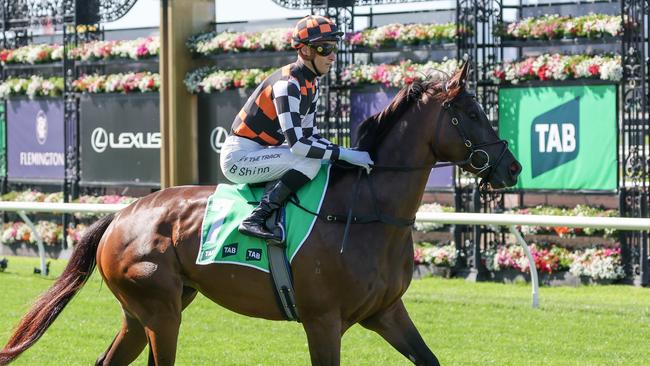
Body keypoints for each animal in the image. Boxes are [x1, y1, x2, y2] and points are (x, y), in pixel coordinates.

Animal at [0, 60, 516, 366]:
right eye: (472, 113)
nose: (511, 167)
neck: (367, 212)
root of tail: (121, 215)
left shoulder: (387, 311)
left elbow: (429, 358)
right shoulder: (323, 320)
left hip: (140, 314)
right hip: (160, 313)